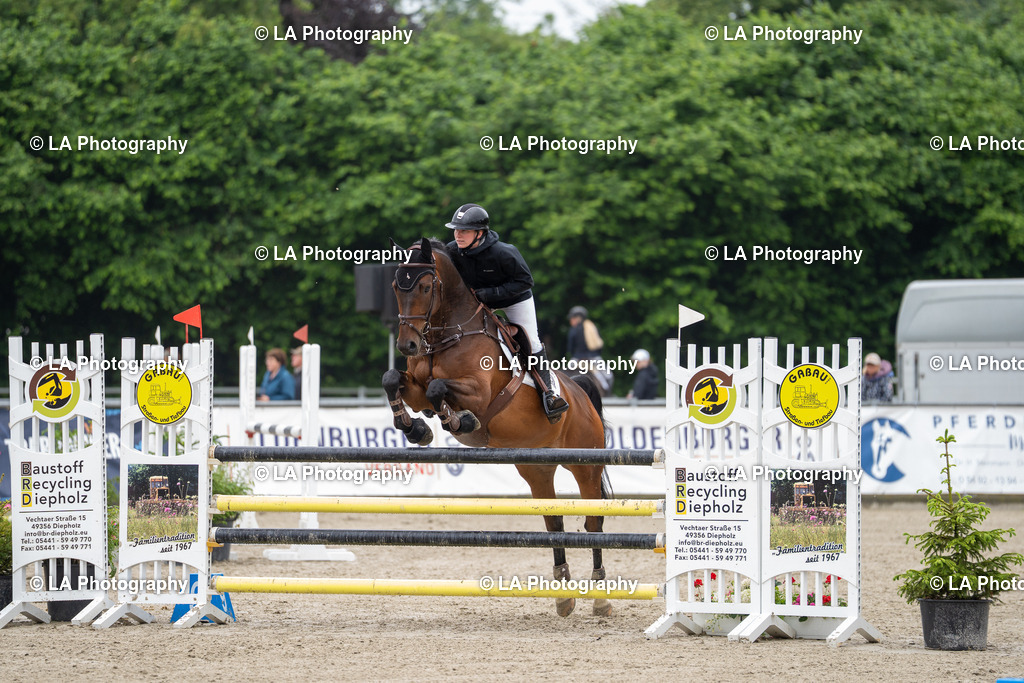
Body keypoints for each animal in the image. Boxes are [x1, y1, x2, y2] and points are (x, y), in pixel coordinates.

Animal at [381, 237, 613, 617]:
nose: (407, 345)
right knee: (554, 522)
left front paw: (459, 421)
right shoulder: (414, 386)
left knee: (593, 522)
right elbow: (394, 380)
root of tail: (581, 392)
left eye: (426, 287)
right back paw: (564, 594)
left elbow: (438, 388)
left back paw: (600, 596)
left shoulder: (478, 390)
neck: (449, 333)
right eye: (395, 287)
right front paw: (416, 429)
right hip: (537, 468)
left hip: (586, 464)